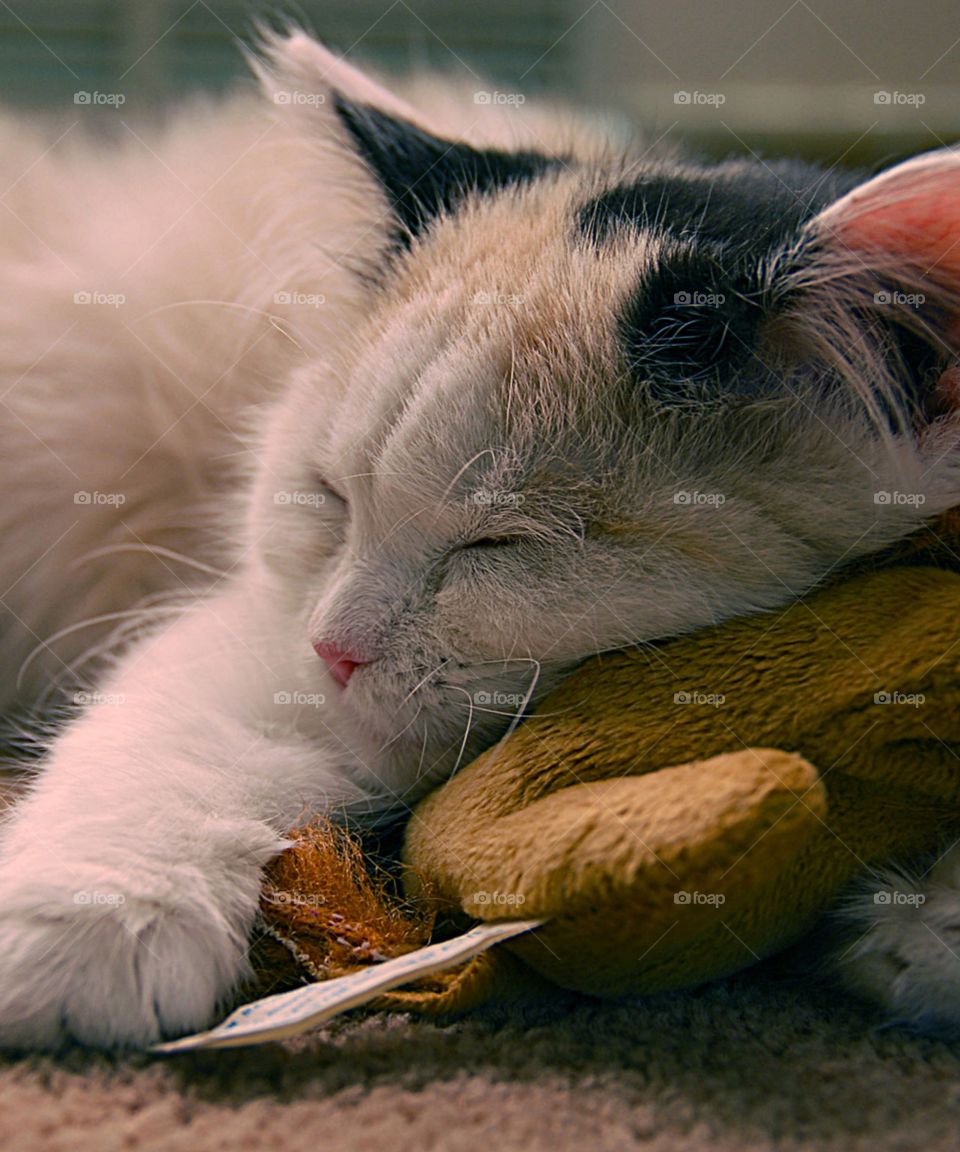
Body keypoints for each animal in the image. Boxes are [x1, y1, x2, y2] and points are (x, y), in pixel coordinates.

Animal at [1, 31, 958, 1050]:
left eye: (499, 544)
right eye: (330, 498)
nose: (333, 651)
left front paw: (931, 923)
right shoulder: (260, 635)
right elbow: (168, 740)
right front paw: (96, 920)